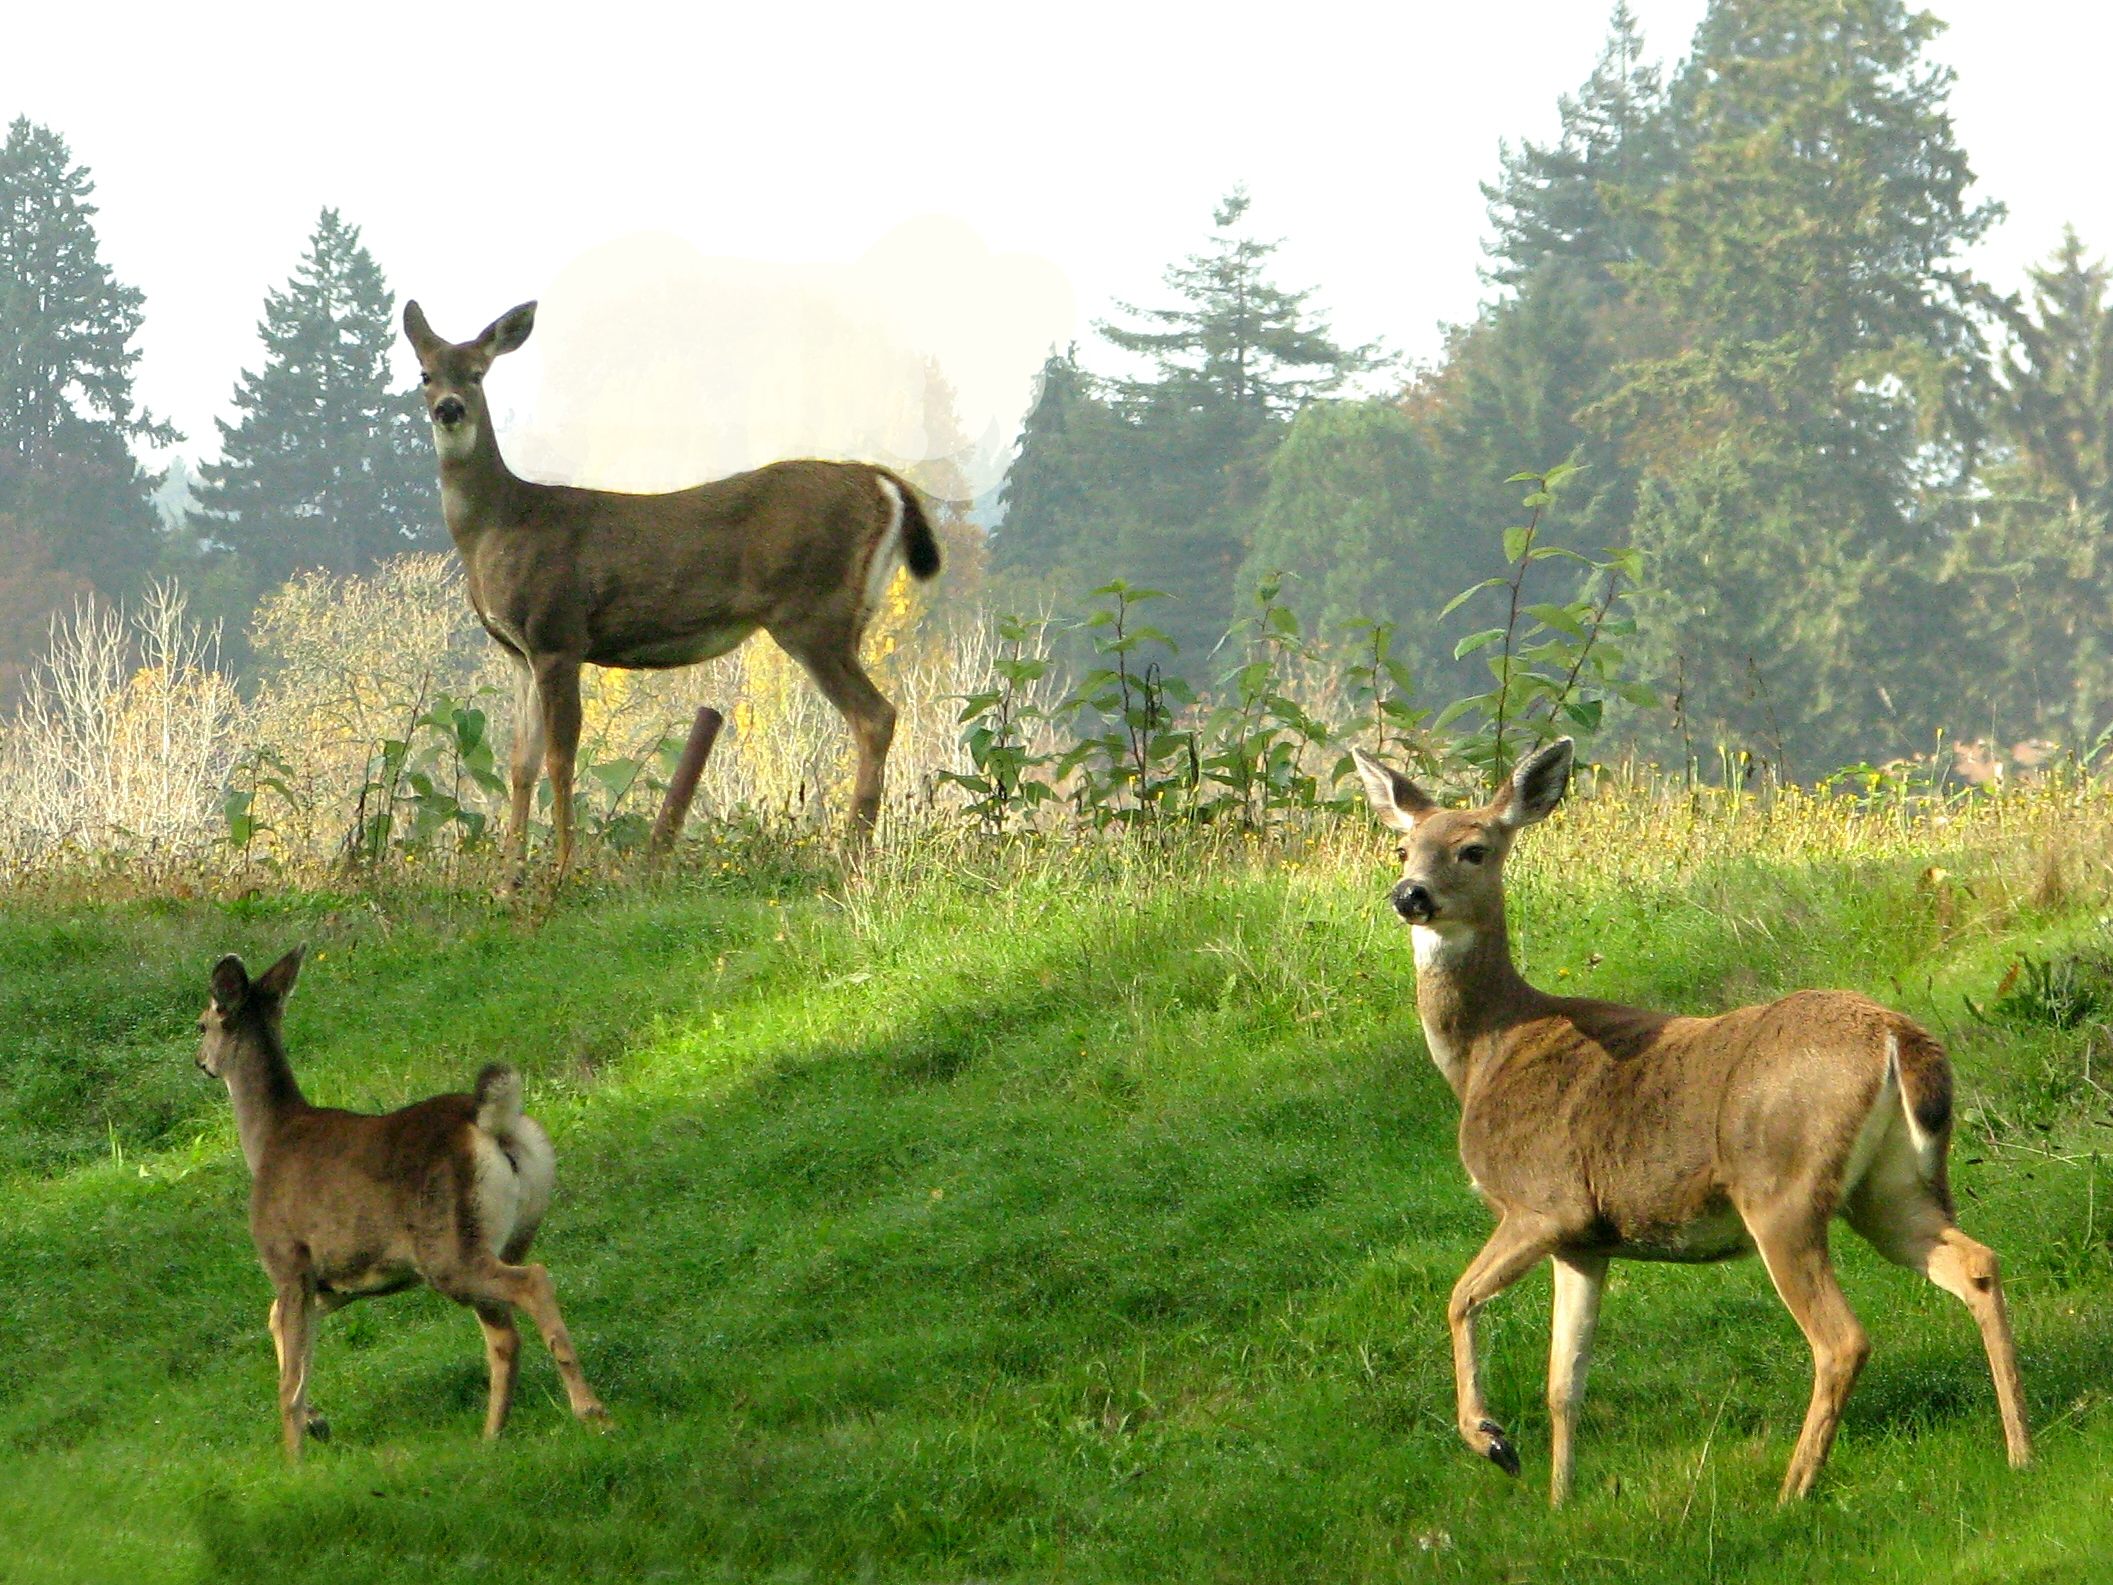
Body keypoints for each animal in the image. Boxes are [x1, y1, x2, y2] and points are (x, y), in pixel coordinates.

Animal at [195, 946, 610, 1459]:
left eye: (202, 1024)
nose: (199, 1060)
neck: (268, 1140)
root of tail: (489, 1122)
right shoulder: (340, 1279)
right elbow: (281, 1331)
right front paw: (317, 1421)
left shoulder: (288, 1259)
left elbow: (289, 1379)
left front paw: (294, 1457)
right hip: (506, 1233)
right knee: (505, 1334)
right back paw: (492, 1435)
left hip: (448, 1246)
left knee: (533, 1283)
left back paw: (590, 1413)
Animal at [401, 300, 943, 879]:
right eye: (425, 374)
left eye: (478, 373)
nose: (450, 408)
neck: (497, 525)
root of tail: (885, 485)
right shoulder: (517, 652)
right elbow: (520, 762)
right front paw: (510, 876)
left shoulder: (558, 634)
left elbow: (560, 757)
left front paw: (563, 870)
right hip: (846, 616)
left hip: (812, 613)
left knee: (874, 715)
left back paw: (851, 854)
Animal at [1350, 739, 2031, 1505]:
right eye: (1402, 847)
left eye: (1472, 849)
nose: (1409, 895)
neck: (1488, 1051)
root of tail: (1895, 1035)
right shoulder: (1584, 1241)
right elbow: (1564, 1384)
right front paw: (1559, 1500)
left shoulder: (1543, 1202)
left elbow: (1457, 1298)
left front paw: (1493, 1440)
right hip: (1889, 1187)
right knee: (1975, 1263)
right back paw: (2019, 1451)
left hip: (1781, 1187)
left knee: (1841, 1338)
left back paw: (1791, 1490)